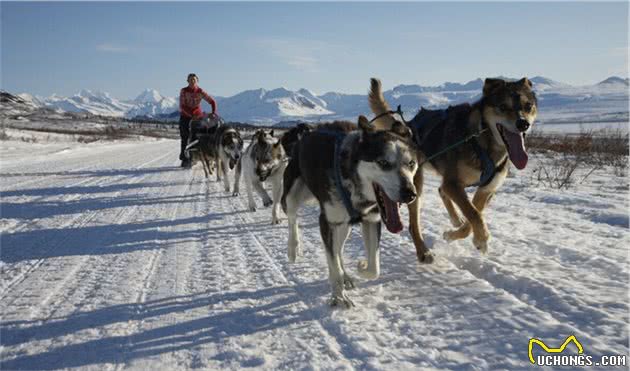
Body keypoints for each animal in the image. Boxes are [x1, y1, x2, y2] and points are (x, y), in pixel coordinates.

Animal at [282, 117, 420, 308]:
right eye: (383, 163)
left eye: (411, 163)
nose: (410, 193)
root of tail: (307, 131)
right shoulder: (327, 222)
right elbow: (333, 266)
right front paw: (339, 297)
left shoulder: (372, 220)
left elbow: (374, 268)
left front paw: (361, 267)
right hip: (292, 195)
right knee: (292, 217)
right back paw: (293, 248)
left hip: (343, 227)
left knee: (338, 250)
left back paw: (346, 275)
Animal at [368, 77, 540, 262]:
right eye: (503, 106)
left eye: (528, 106)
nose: (523, 123)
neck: (483, 142)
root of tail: (408, 127)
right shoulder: (454, 184)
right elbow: (474, 214)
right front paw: (482, 239)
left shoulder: (486, 189)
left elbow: (473, 215)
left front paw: (456, 235)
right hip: (415, 184)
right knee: (415, 223)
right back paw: (423, 251)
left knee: (441, 190)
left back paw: (456, 219)